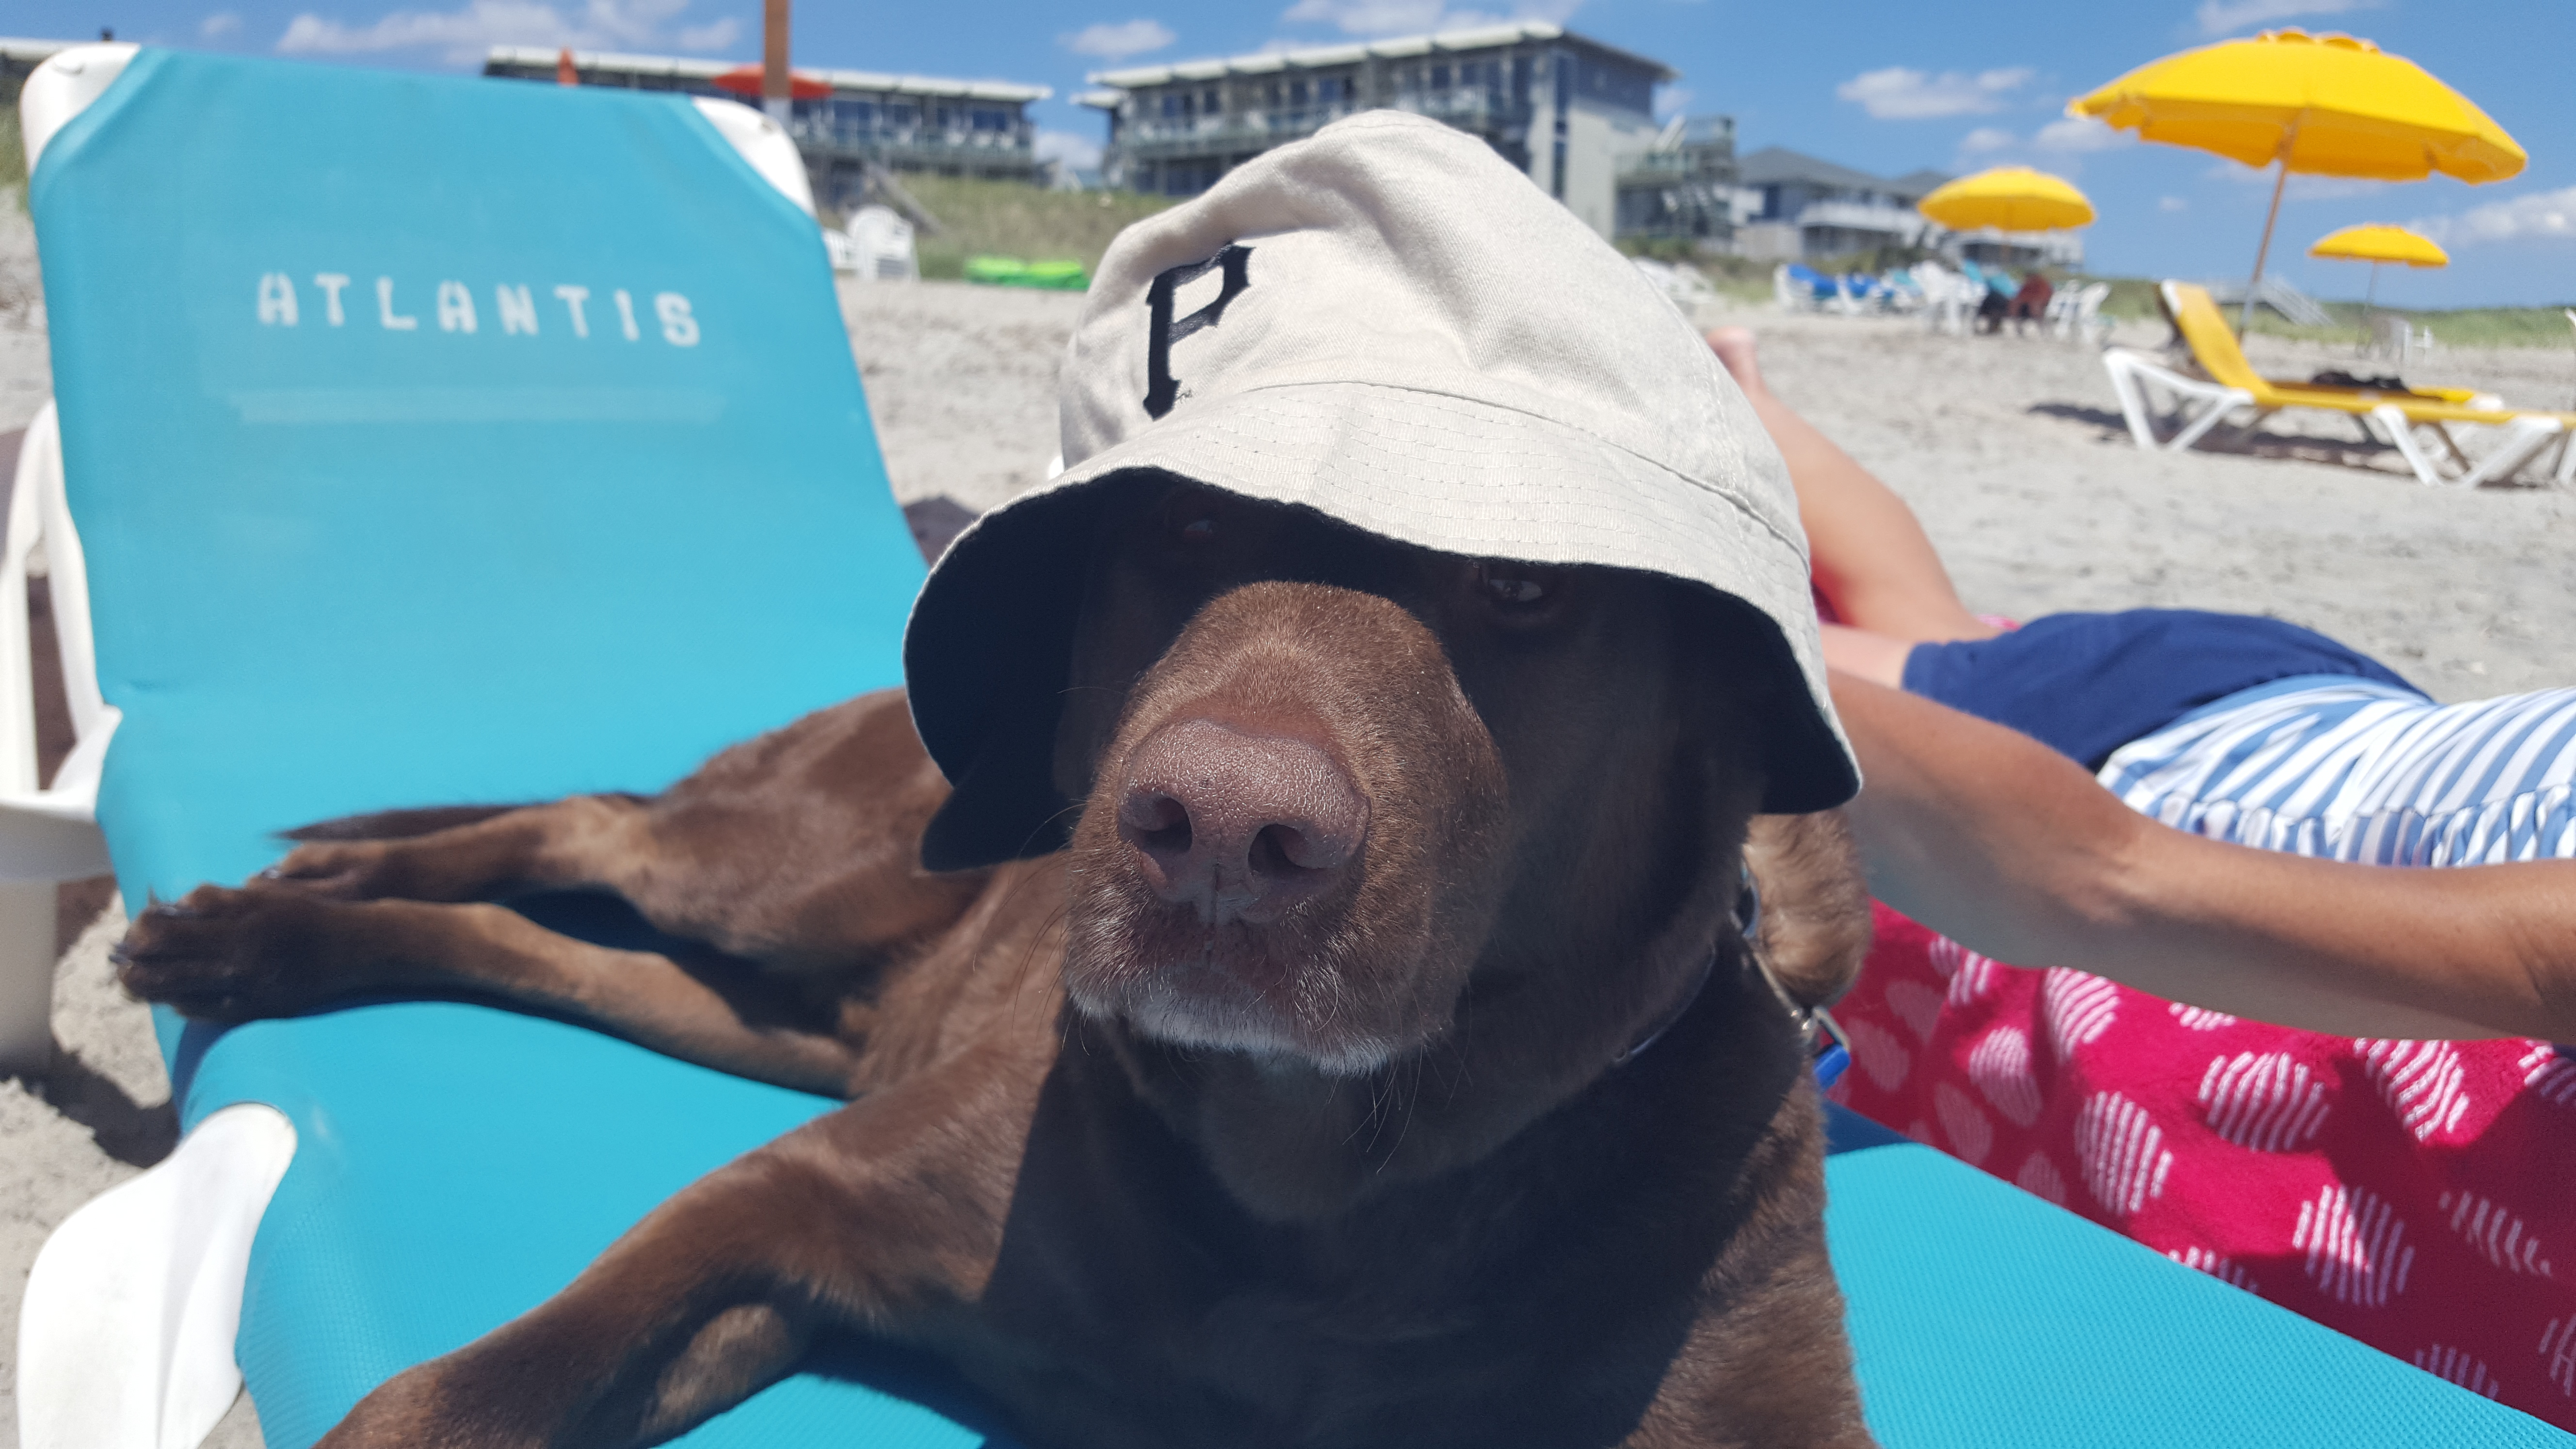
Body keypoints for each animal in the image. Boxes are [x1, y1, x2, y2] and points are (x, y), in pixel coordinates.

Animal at [116, 479, 1875, 1433]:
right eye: (1181, 519)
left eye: (1526, 587)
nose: (1218, 828)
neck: (1311, 1183)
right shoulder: (790, 1196)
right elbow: (455, 1392)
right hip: (790, 872)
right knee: (593, 821)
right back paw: (277, 911)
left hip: (764, 1012)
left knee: (542, 927)